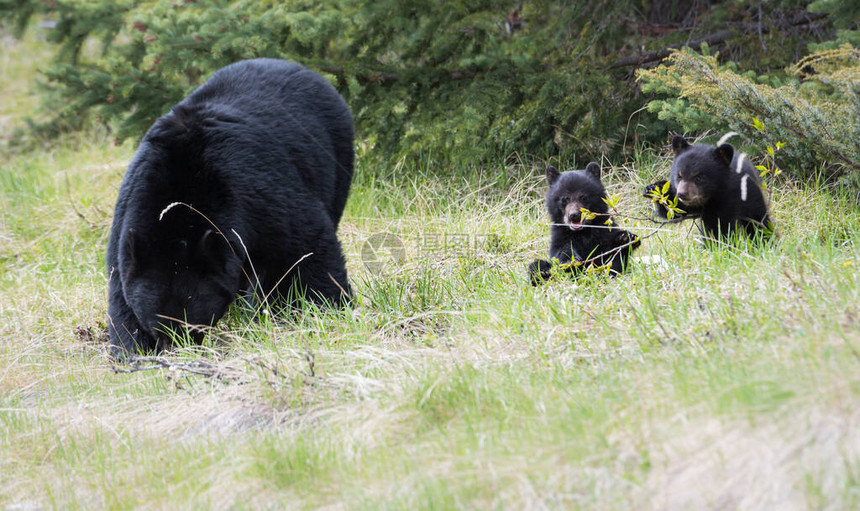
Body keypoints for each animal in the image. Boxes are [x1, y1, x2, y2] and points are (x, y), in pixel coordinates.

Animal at [106, 59, 352, 356]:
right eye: (157, 327)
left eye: (194, 326)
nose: (179, 350)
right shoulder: (128, 219)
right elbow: (120, 292)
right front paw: (132, 350)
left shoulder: (259, 194)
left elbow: (308, 245)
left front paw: (331, 310)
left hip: (336, 153)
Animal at [644, 135, 772, 241]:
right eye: (679, 175)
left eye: (699, 177)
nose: (682, 194)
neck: (707, 198)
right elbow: (675, 210)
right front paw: (653, 188)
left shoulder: (726, 199)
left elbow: (717, 225)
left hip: (751, 196)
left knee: (758, 222)